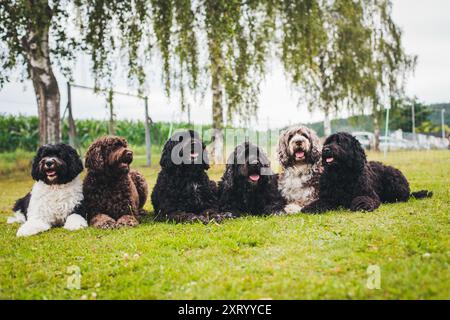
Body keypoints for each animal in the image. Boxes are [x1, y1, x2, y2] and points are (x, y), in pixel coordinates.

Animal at [302, 131, 432, 214]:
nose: (325, 149)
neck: (342, 175)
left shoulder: (368, 194)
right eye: (328, 142)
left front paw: (361, 205)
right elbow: (320, 202)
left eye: (340, 142)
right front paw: (310, 208)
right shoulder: (328, 197)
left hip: (393, 180)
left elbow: (364, 199)